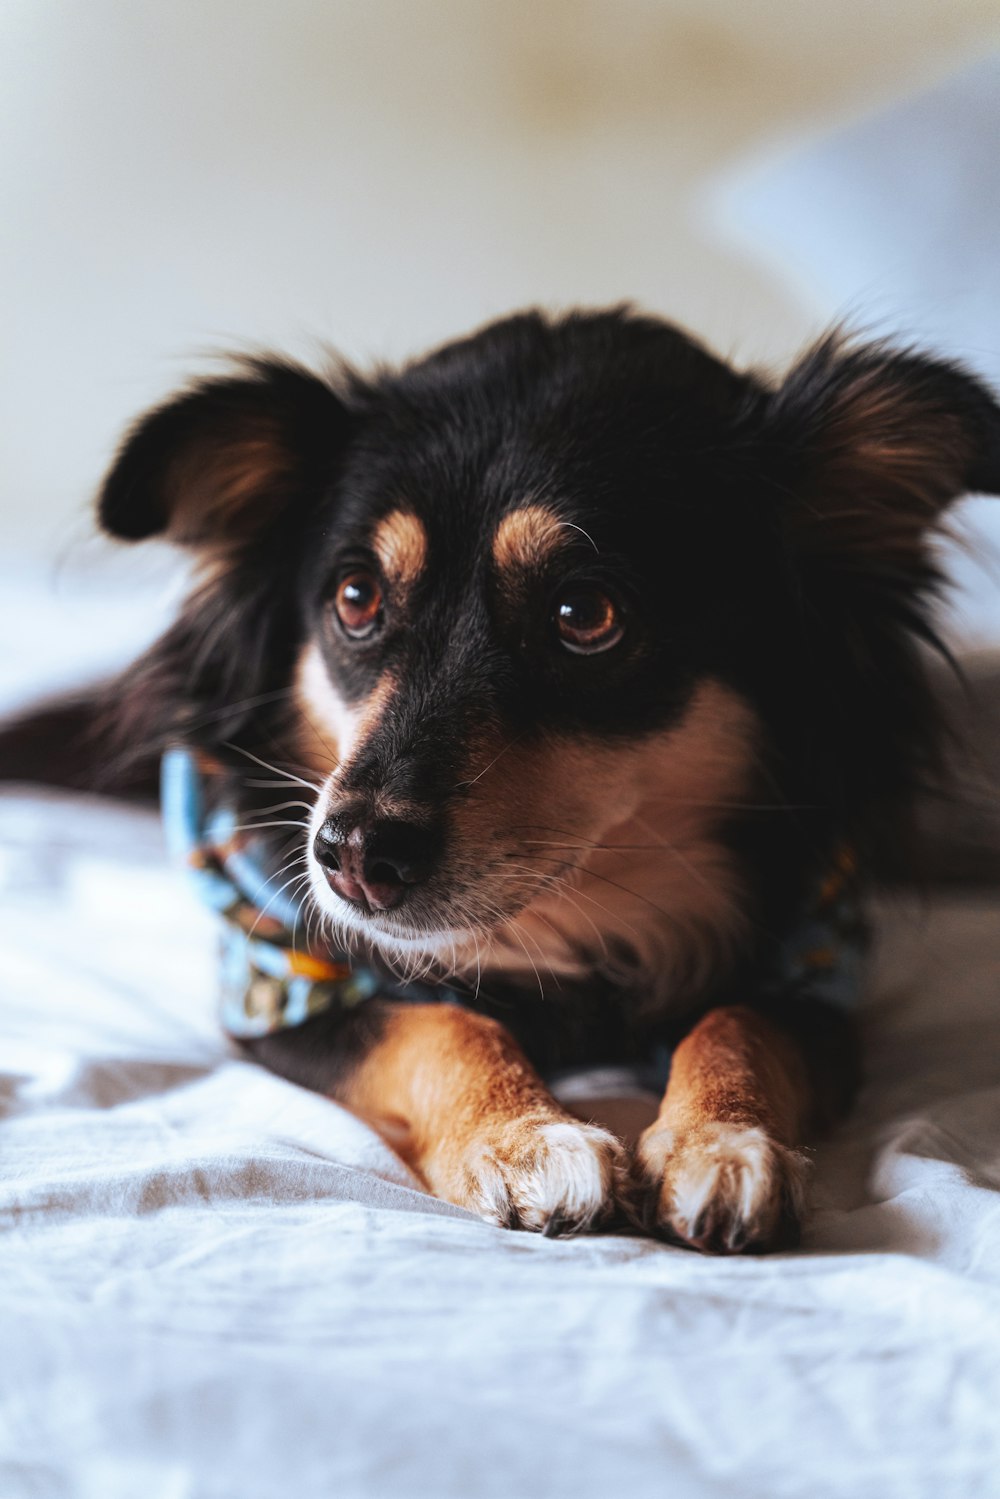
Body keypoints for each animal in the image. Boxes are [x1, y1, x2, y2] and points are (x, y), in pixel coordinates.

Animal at [7, 307, 1000, 1253]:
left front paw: (723, 1142)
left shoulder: (818, 965)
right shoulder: (281, 982)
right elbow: (438, 1023)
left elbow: (740, 1020)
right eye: (357, 598)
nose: (352, 855)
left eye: (585, 612)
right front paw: (525, 1137)